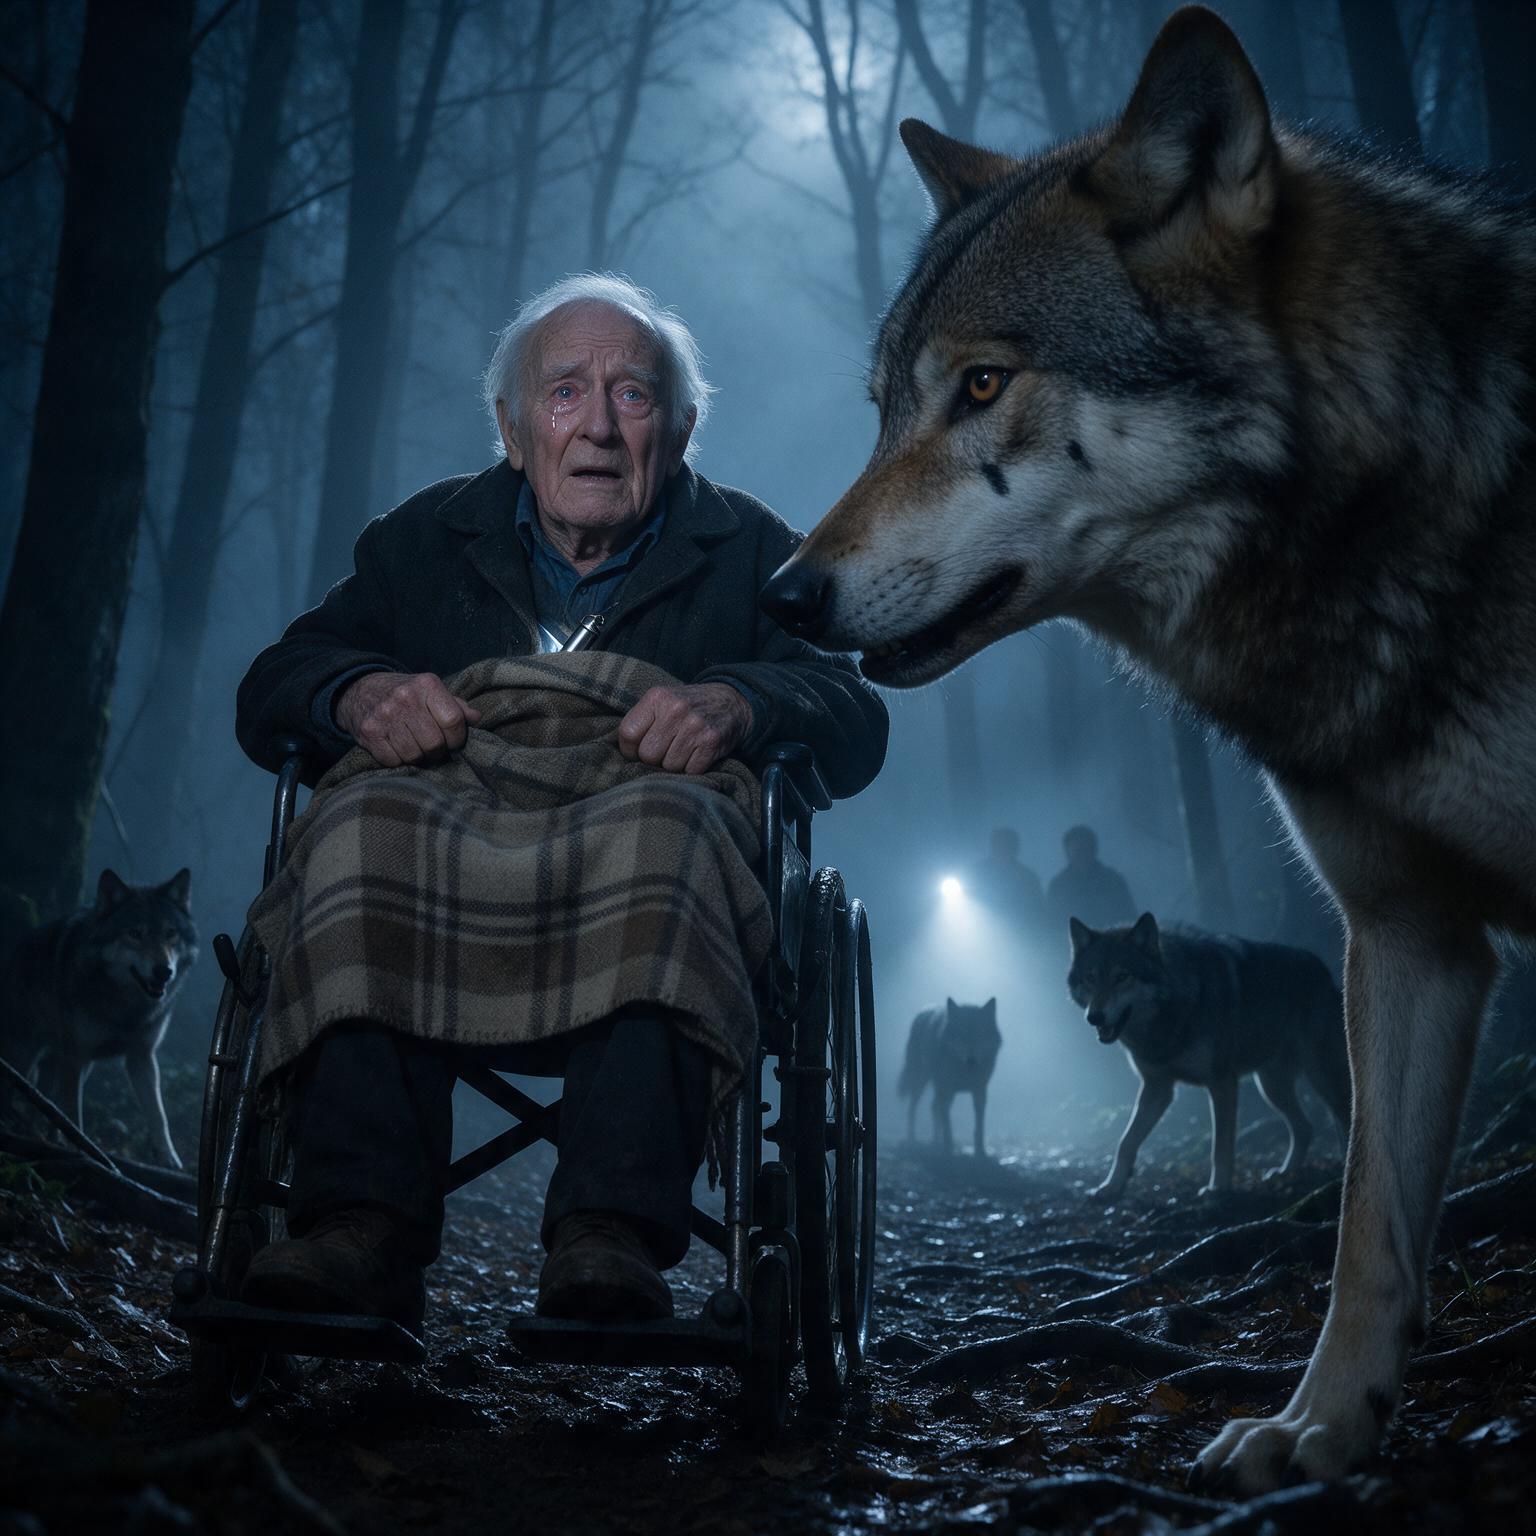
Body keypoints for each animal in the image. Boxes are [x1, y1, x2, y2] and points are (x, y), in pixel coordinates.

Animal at [2, 869, 197, 1168]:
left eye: (171, 933)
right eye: (135, 934)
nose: (164, 971)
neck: (126, 1007)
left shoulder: (141, 1056)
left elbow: (158, 1113)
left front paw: (169, 1160)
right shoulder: (76, 1057)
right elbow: (73, 1113)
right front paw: (83, 1151)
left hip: (74, 1064)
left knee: (48, 1100)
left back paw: (45, 1136)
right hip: (26, 1055)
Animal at [897, 997, 1001, 1156]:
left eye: (980, 1034)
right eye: (960, 1036)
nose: (971, 1060)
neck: (963, 1072)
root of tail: (923, 1011)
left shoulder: (980, 1092)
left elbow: (979, 1127)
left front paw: (980, 1153)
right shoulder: (945, 1090)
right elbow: (947, 1125)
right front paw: (948, 1150)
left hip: (943, 1092)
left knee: (933, 1108)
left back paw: (935, 1143)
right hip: (921, 1082)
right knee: (912, 1110)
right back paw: (912, 1141)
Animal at [1067, 913, 1349, 1200]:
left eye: (1122, 976)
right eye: (1090, 978)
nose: (1094, 1017)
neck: (1173, 1012)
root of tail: (1324, 971)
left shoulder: (1222, 1083)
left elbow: (1220, 1146)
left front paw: (1217, 1188)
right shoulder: (1157, 1087)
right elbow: (1125, 1141)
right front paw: (1111, 1186)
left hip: (1321, 1078)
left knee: (1343, 1119)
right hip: (1271, 1087)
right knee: (1305, 1127)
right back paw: (1285, 1172)